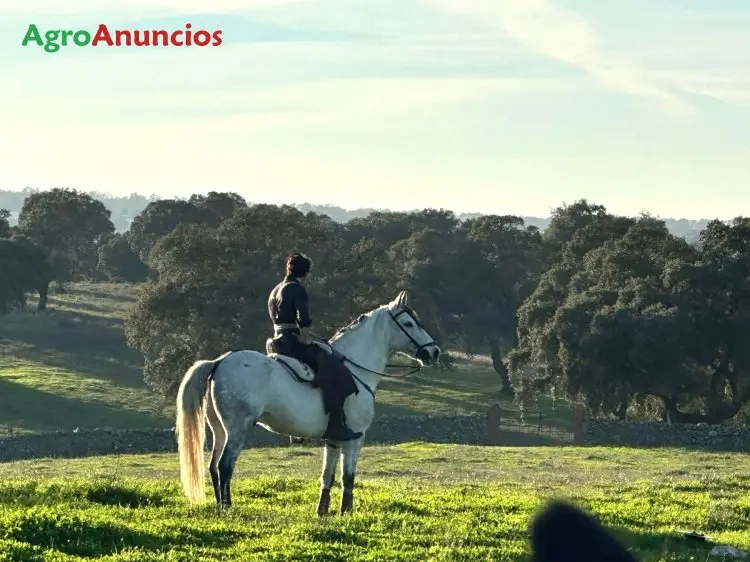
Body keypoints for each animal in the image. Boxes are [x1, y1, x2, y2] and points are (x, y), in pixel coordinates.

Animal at [175, 290, 440, 516]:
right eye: (409, 324)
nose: (434, 351)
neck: (356, 369)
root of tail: (219, 361)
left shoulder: (334, 439)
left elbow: (328, 475)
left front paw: (322, 511)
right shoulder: (356, 437)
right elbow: (348, 476)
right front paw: (346, 512)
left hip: (219, 430)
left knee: (212, 466)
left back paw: (220, 506)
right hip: (238, 430)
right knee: (225, 466)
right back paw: (227, 507)